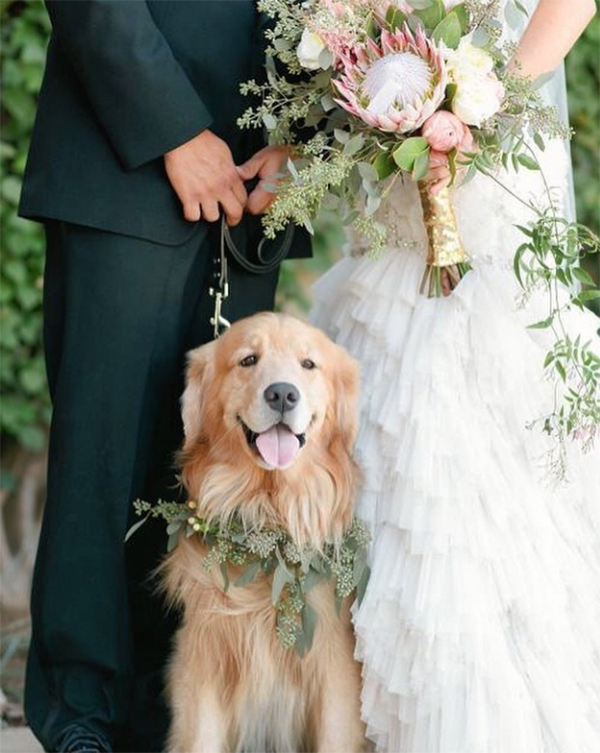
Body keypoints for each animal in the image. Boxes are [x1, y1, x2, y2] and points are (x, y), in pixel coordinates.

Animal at [161, 312, 366, 752]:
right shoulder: (203, 659)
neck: (270, 515)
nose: (283, 394)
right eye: (248, 360)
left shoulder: (335, 671)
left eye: (308, 364)